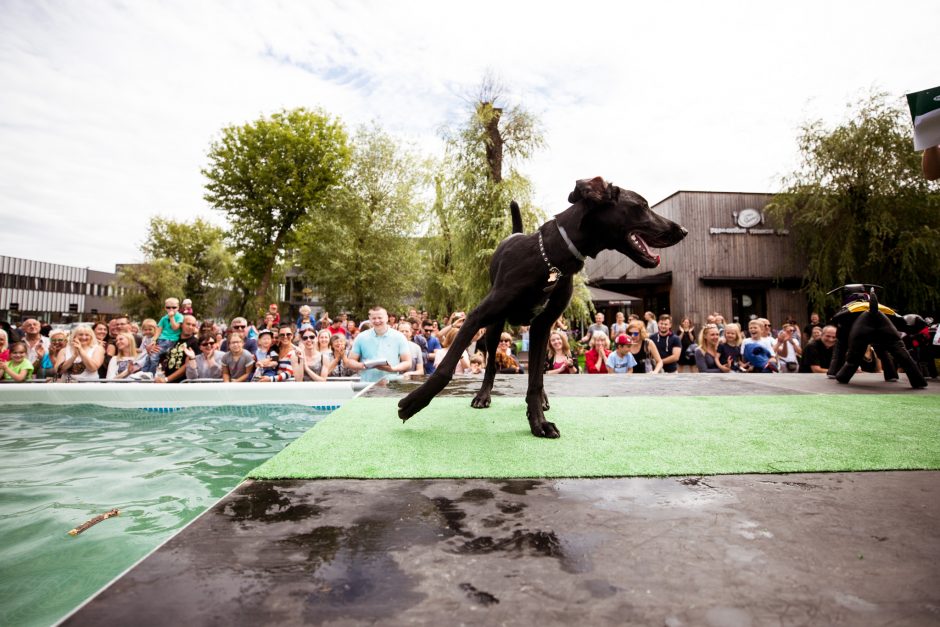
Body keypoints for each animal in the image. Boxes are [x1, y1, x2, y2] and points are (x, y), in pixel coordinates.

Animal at [394, 177, 684, 440]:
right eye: (642, 206)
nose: (683, 230)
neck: (551, 259)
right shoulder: (476, 318)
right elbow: (445, 369)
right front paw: (414, 403)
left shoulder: (543, 326)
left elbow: (534, 381)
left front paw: (538, 422)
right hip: (495, 327)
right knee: (491, 366)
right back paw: (483, 395)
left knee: (538, 371)